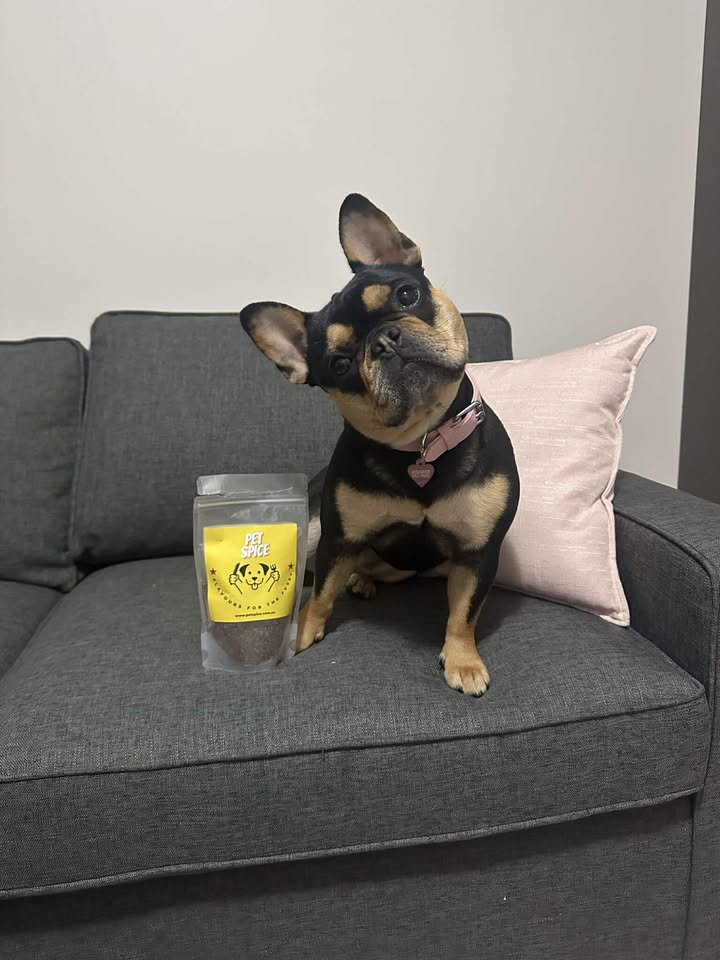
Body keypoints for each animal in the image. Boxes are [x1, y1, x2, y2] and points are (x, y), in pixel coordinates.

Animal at [240, 194, 519, 695]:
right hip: (314, 526)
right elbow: (322, 590)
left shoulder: (478, 552)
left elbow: (464, 612)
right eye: (340, 364)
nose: (384, 340)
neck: (421, 442)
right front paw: (304, 630)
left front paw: (463, 660)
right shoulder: (338, 536)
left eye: (407, 295)